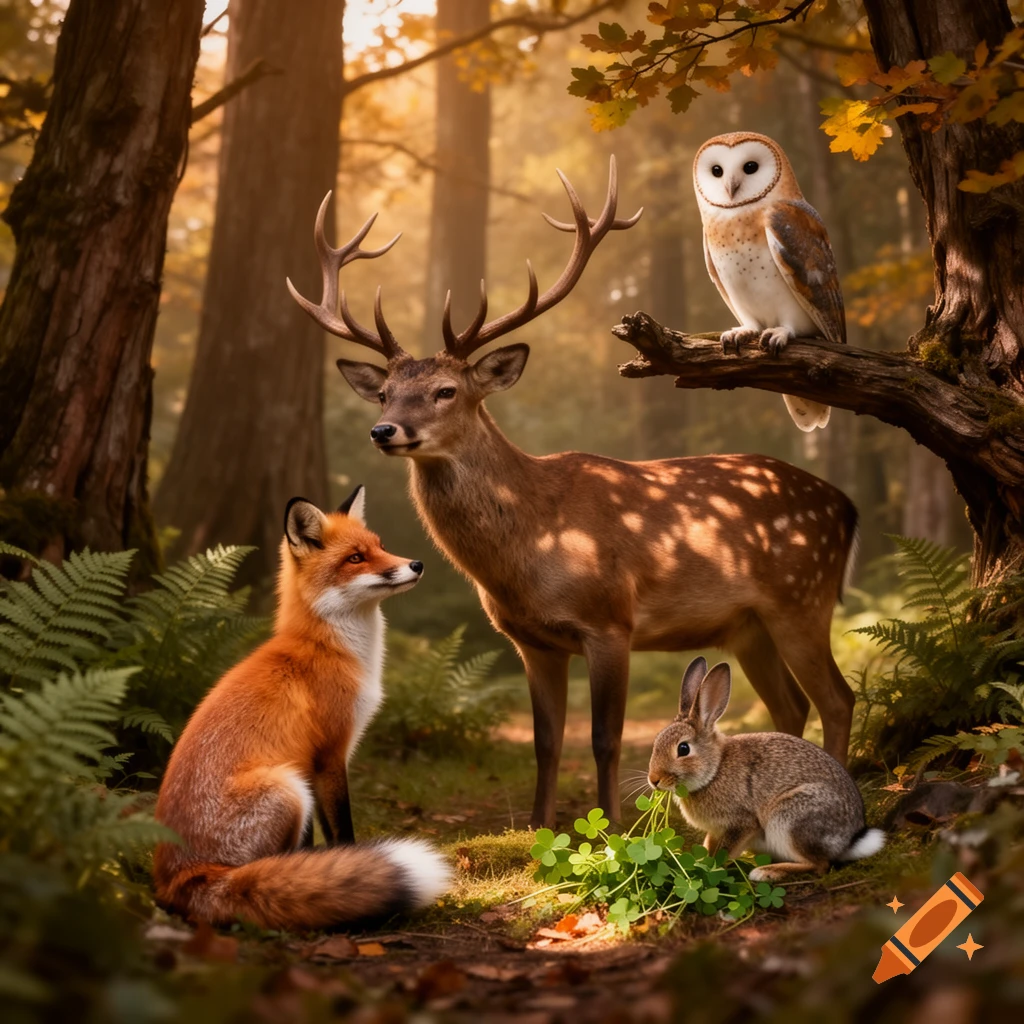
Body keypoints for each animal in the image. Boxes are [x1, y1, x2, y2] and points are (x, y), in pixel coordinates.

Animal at [152, 487, 451, 931]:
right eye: (355, 558)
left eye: (380, 546)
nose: (416, 564)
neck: (328, 647)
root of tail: (178, 878)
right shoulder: (329, 754)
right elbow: (342, 830)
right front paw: (348, 865)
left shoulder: (316, 764)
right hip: (287, 789)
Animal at [287, 157, 859, 828]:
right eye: (383, 393)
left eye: (447, 391)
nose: (384, 430)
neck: (530, 550)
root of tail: (847, 507)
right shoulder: (532, 640)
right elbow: (547, 741)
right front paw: (538, 829)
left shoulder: (610, 619)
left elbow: (604, 738)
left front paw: (609, 828)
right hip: (747, 625)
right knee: (791, 705)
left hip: (802, 596)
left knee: (838, 697)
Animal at [647, 657, 885, 882]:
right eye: (656, 742)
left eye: (683, 749)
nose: (654, 780)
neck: (714, 770)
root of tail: (851, 840)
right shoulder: (715, 831)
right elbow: (709, 847)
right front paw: (699, 862)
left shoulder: (742, 823)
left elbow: (724, 852)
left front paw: (709, 870)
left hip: (791, 818)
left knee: (820, 865)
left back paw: (766, 872)